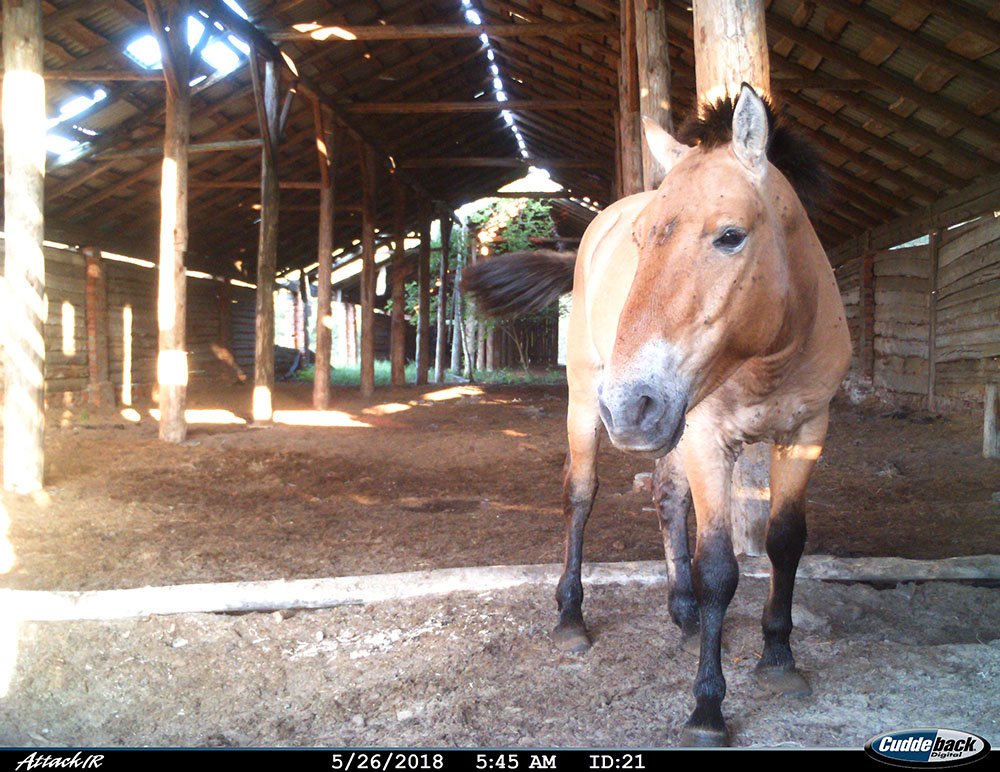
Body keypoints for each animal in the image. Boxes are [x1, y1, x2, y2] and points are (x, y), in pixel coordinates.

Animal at [463, 84, 851, 746]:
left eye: (730, 235)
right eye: (643, 240)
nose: (629, 404)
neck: (771, 354)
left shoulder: (805, 433)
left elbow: (784, 542)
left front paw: (778, 658)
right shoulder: (708, 437)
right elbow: (719, 567)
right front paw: (707, 708)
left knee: (668, 499)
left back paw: (684, 612)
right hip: (593, 402)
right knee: (580, 495)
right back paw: (572, 618)